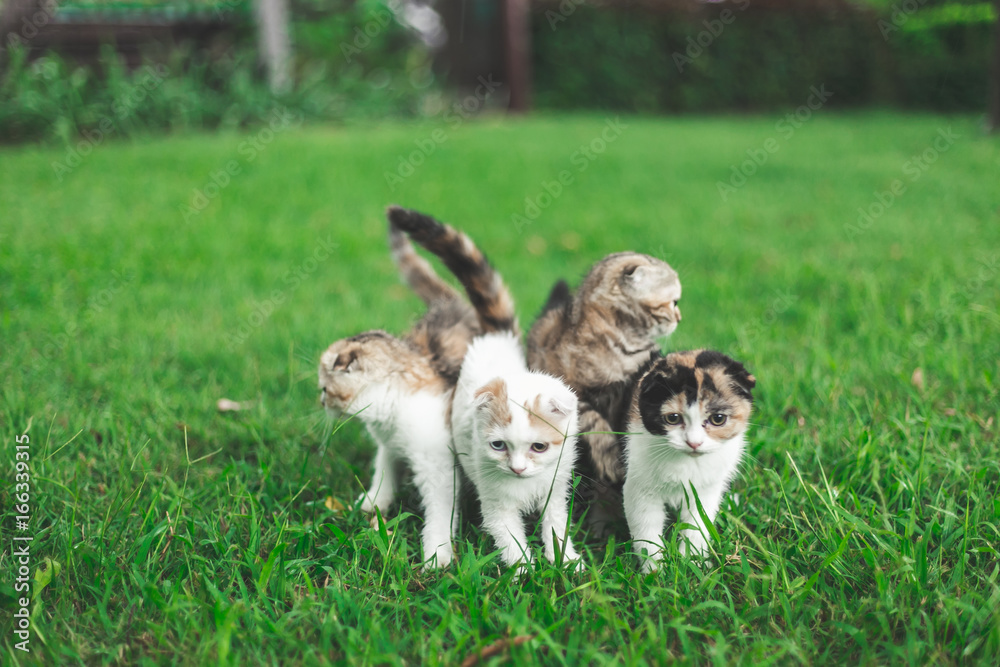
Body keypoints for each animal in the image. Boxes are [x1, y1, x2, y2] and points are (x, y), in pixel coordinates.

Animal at [316, 206, 516, 568]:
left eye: (324, 389)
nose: (320, 401)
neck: (389, 414)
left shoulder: (438, 465)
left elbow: (439, 512)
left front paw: (437, 555)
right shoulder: (389, 444)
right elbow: (383, 469)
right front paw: (373, 502)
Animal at [452, 334, 584, 568]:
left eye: (539, 447)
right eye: (498, 445)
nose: (517, 469)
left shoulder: (556, 486)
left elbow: (557, 523)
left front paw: (566, 559)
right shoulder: (496, 504)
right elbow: (510, 538)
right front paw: (522, 569)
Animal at [620, 350, 752, 576]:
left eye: (718, 419)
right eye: (673, 418)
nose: (694, 443)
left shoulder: (706, 491)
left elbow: (698, 525)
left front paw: (692, 562)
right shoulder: (638, 487)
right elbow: (646, 527)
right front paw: (655, 571)